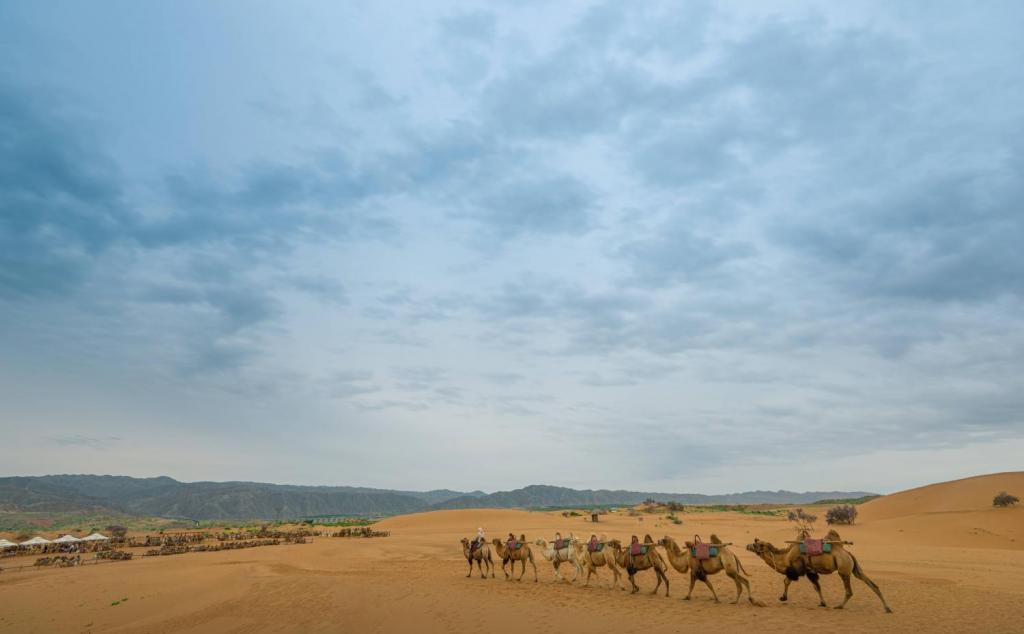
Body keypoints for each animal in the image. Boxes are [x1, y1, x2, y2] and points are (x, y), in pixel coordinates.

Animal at [749, 532, 892, 614]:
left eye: (758, 545)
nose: (748, 545)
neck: (785, 556)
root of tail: (848, 554)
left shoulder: (798, 569)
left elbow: (787, 580)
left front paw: (783, 597)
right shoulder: (810, 571)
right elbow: (817, 586)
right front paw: (822, 603)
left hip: (843, 569)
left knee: (849, 590)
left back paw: (839, 606)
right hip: (854, 568)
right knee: (872, 584)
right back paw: (887, 608)